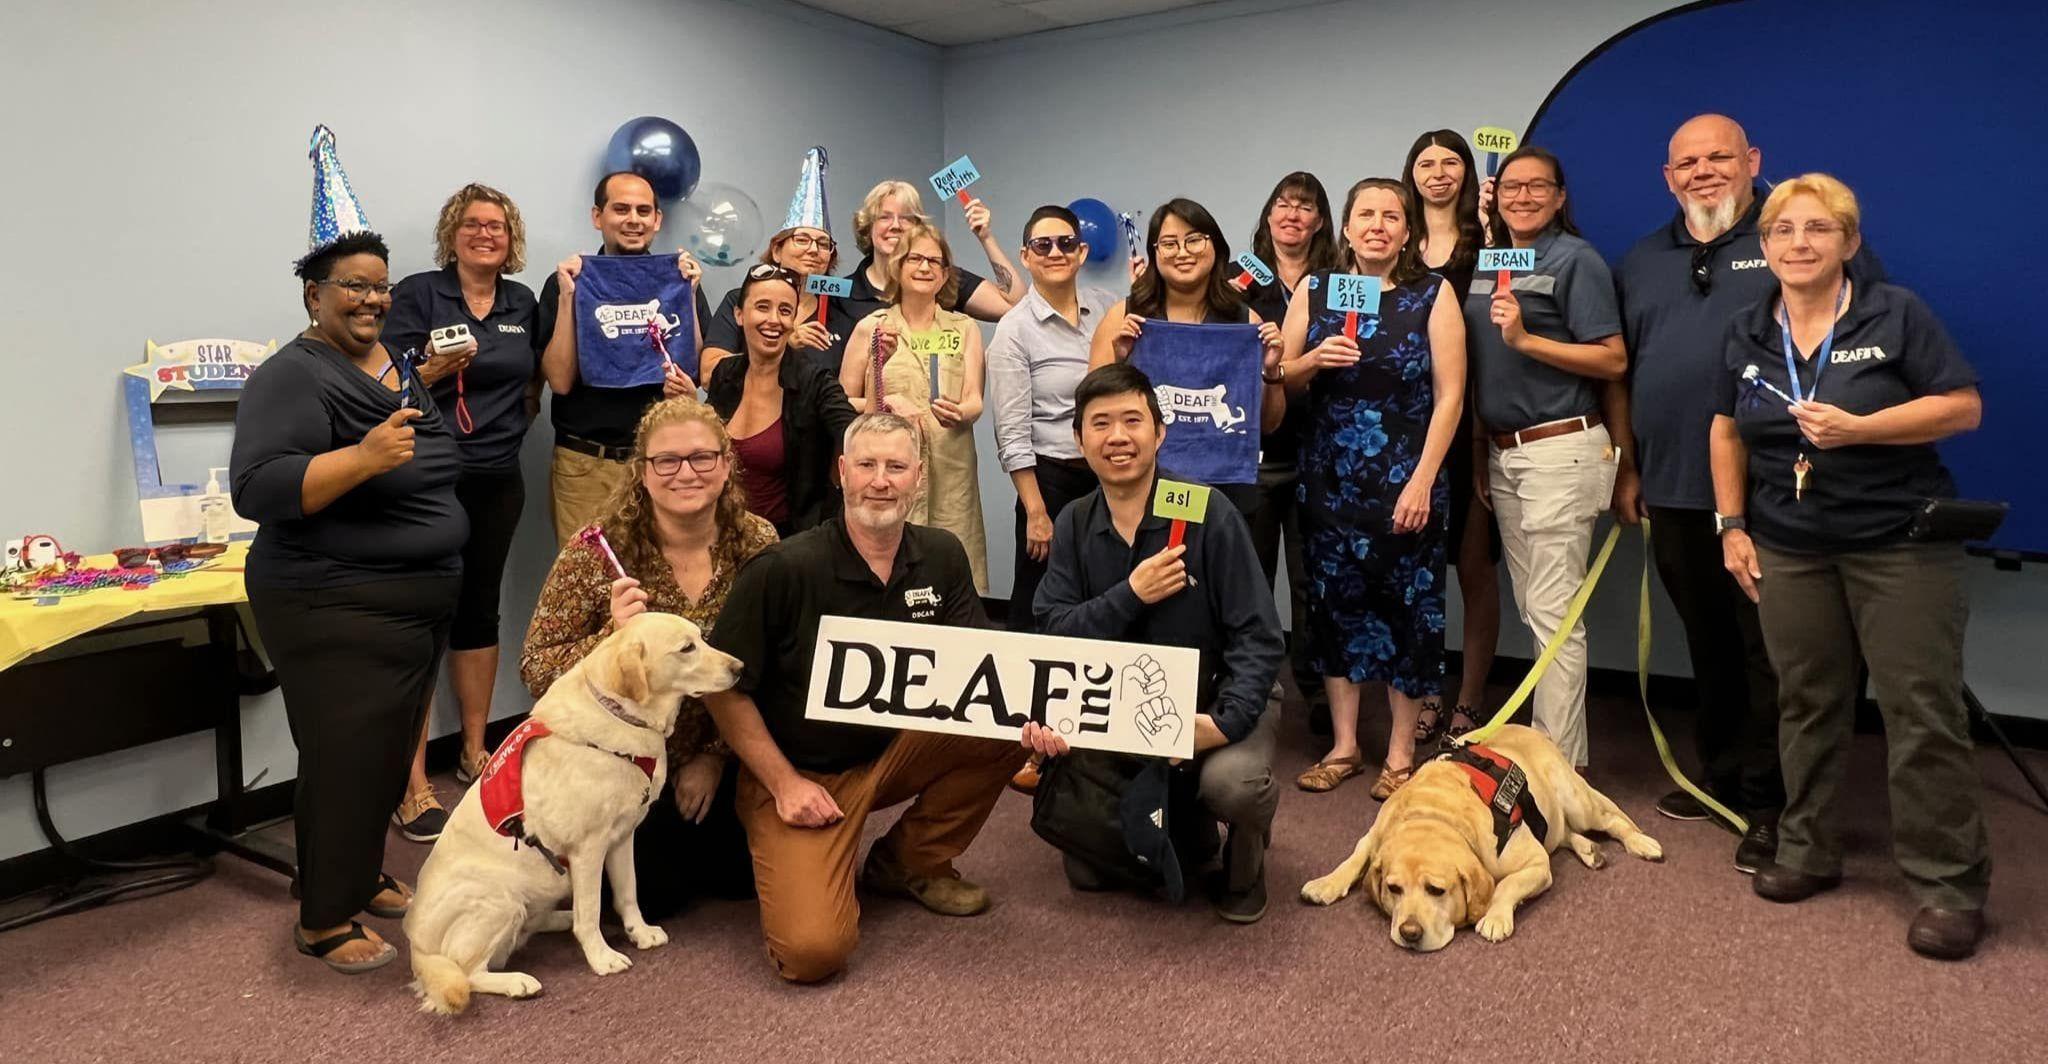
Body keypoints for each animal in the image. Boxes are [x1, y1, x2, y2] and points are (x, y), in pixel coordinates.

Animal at [403, 609, 741, 1010]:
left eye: (701, 637)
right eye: (687, 648)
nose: (739, 668)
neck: (619, 714)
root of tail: (417, 948)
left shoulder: (622, 837)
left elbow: (628, 892)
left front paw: (639, 932)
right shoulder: (588, 848)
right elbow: (591, 911)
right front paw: (602, 957)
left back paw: (559, 917)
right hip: (498, 899)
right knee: (468, 972)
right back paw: (517, 981)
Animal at [1294, 728, 1662, 953]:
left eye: (1436, 890)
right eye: (1394, 888)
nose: (1409, 933)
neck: (1436, 815)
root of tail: (1533, 730)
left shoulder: (1535, 862)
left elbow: (1506, 885)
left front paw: (1496, 917)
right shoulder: (1376, 833)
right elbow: (1356, 855)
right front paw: (1327, 883)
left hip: (1577, 801)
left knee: (1613, 820)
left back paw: (1641, 843)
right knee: (1564, 834)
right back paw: (1589, 849)